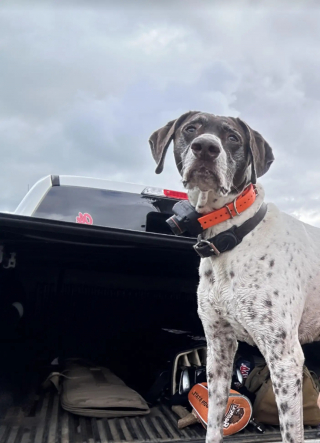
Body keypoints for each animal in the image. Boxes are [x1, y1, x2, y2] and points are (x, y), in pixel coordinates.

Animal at [149, 111, 320, 443]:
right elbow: (214, 420)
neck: (231, 238)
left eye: (233, 138)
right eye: (190, 129)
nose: (205, 148)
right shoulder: (219, 346)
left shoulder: (284, 358)